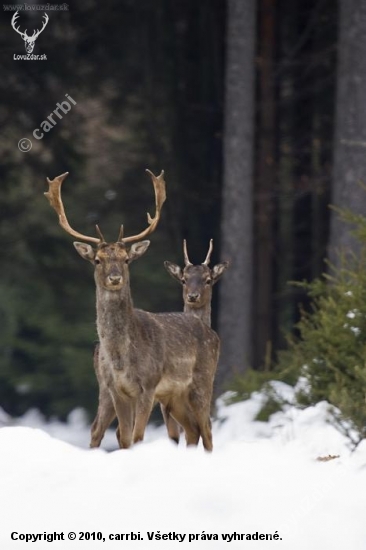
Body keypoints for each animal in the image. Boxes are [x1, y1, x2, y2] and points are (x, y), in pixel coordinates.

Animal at [44, 171, 219, 452]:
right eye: (98, 260)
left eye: (126, 260)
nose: (115, 278)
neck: (121, 358)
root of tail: (213, 333)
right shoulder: (117, 390)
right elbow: (125, 438)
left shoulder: (148, 385)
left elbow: (137, 437)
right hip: (173, 396)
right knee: (193, 429)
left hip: (203, 381)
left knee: (208, 430)